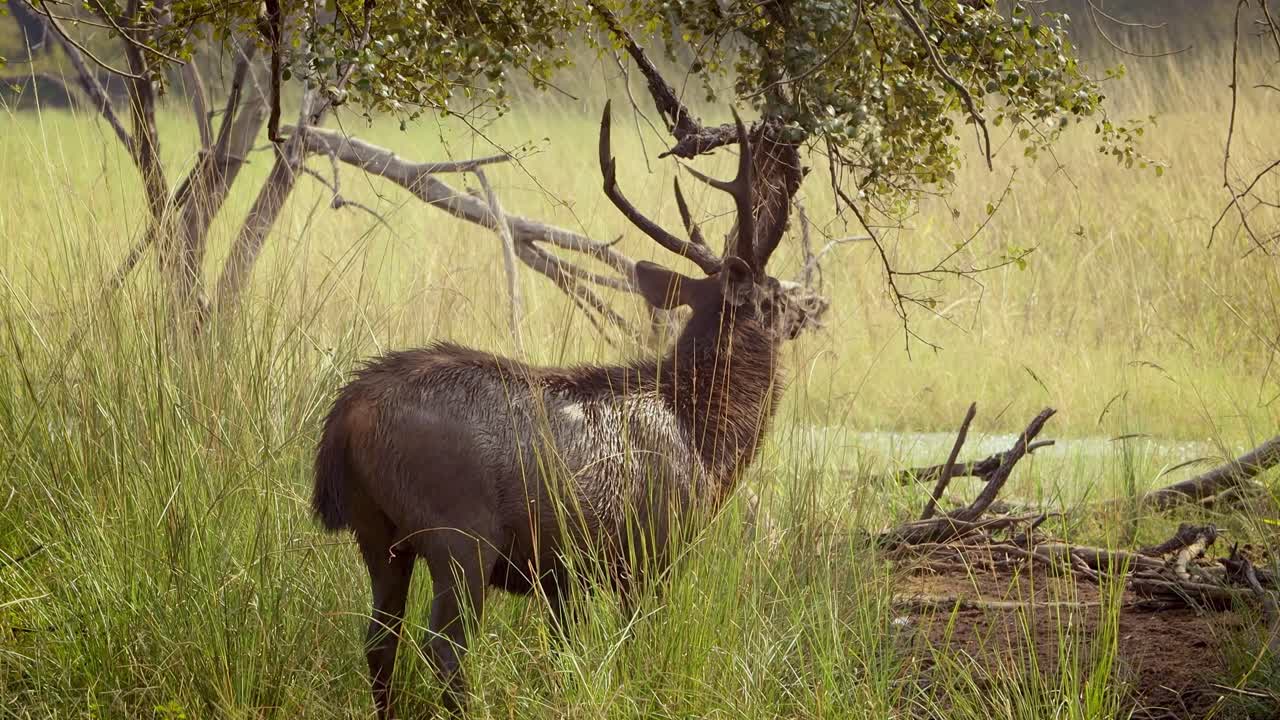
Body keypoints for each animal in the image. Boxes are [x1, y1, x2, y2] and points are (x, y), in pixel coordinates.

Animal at [312, 101, 811, 718]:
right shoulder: (652, 548)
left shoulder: (561, 575)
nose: (808, 308)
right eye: (774, 295)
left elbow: (563, 654)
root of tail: (346, 415)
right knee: (443, 647)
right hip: (459, 533)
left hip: (375, 532)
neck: (705, 438)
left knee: (380, 641)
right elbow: (637, 641)